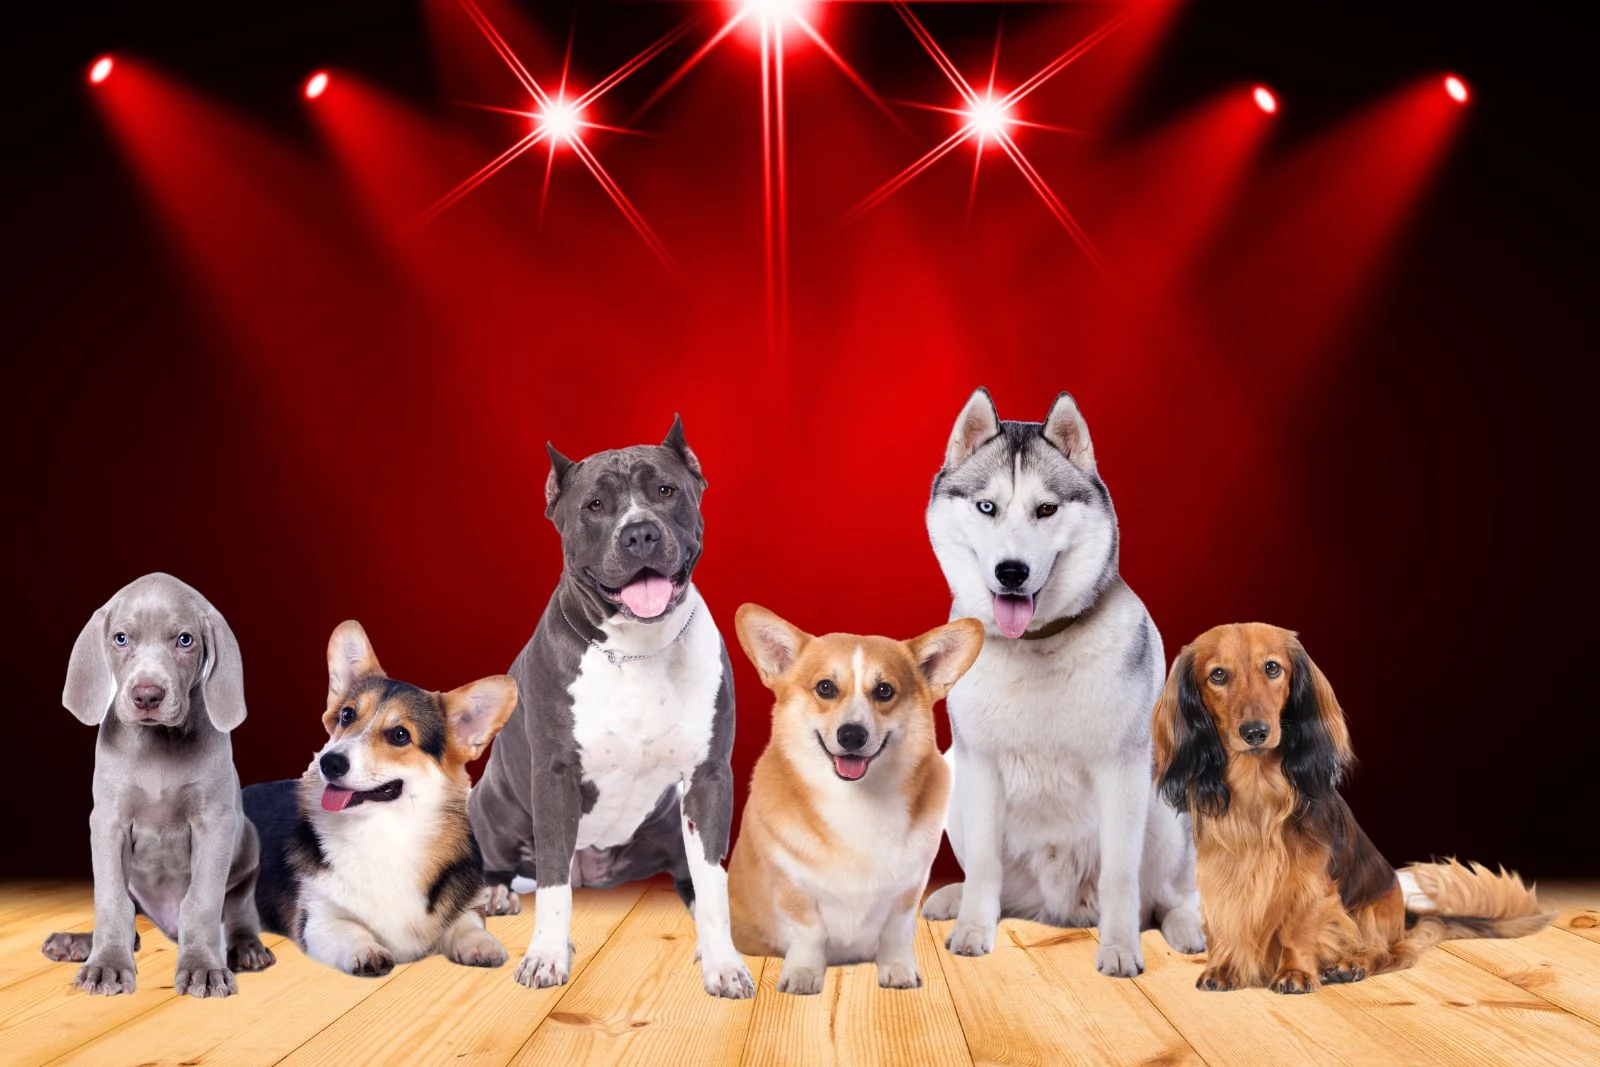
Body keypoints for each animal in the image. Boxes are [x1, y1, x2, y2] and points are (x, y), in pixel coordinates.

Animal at [43, 575, 275, 1004]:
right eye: (120, 638)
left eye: (185, 640)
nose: (147, 695)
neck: (158, 743)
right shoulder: (108, 822)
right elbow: (112, 901)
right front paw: (106, 965)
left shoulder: (215, 823)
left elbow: (201, 902)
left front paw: (204, 969)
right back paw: (77, 943)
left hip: (248, 844)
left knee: (238, 909)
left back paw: (246, 949)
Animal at [467, 419, 755, 1004]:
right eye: (595, 506)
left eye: (665, 491)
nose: (639, 533)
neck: (636, 648)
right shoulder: (555, 777)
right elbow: (552, 884)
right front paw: (546, 956)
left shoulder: (710, 777)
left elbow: (712, 882)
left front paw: (723, 962)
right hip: (494, 806)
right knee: (502, 865)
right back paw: (497, 894)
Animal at [921, 390, 1203, 979]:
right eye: (987, 507)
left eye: (1046, 509)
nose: (1011, 571)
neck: (1036, 645)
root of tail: (1060, 908)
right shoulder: (979, 761)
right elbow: (985, 863)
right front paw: (973, 929)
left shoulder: (1121, 769)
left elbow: (1121, 874)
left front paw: (1119, 949)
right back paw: (955, 899)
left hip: (1165, 806)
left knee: (1170, 895)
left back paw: (1184, 928)